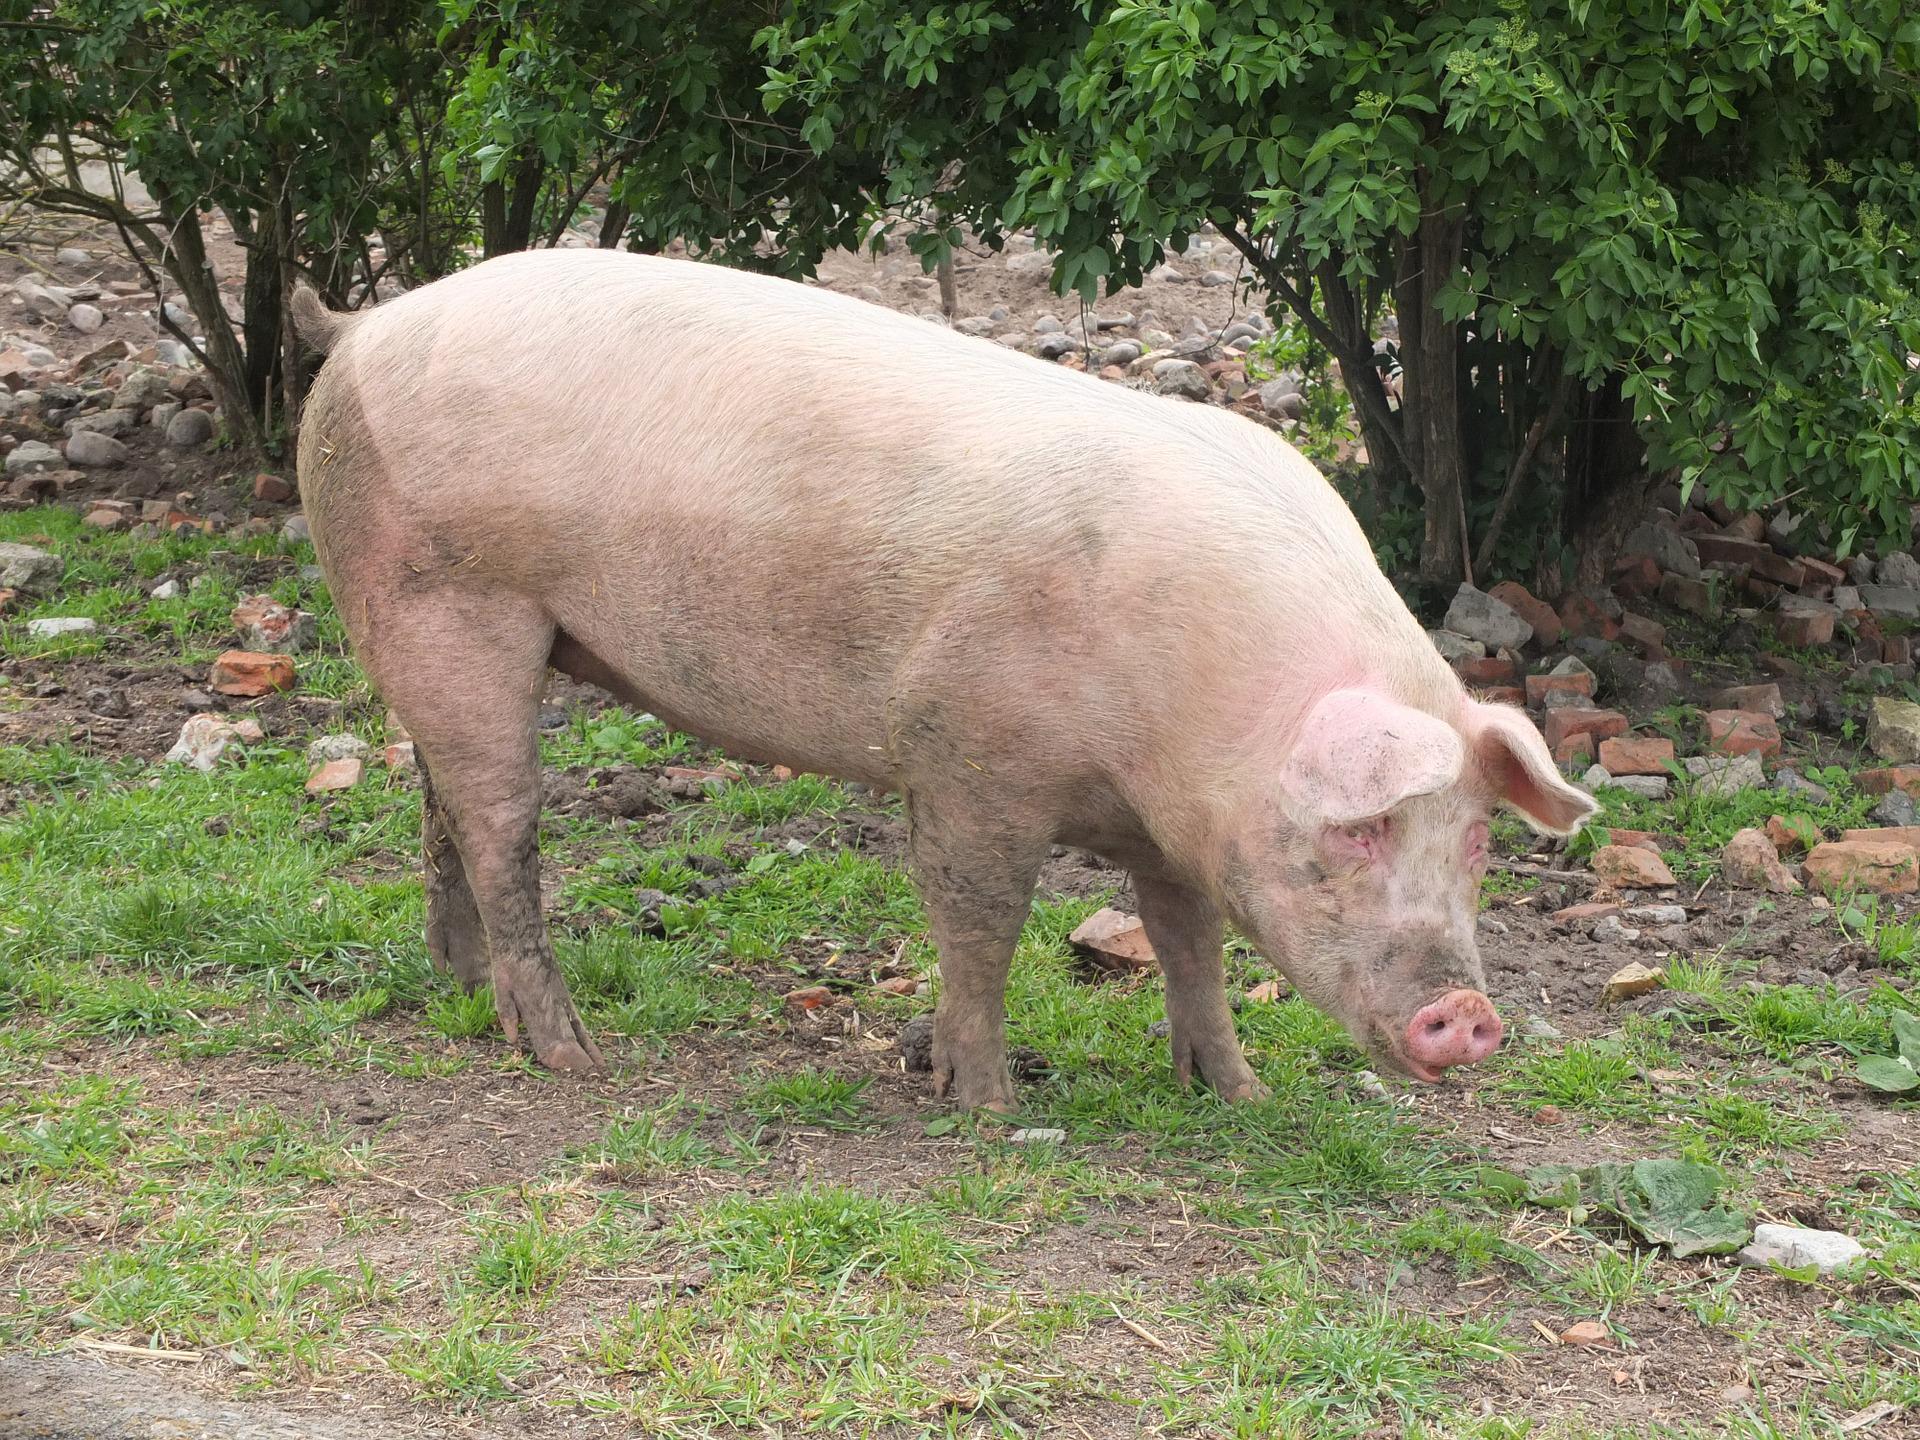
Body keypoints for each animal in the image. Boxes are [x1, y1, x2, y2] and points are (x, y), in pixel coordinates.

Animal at [291, 247, 1597, 1113]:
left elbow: (1189, 942)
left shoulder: (1173, 826)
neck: (1195, 714)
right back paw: (570, 1053)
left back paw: (460, 984)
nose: (1469, 1012)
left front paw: (1237, 1094)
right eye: (1362, 830)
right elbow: (980, 918)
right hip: (450, 597)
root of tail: (358, 327)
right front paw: (984, 1103)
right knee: (502, 822)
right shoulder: (966, 749)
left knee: (443, 803)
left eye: (1474, 841)